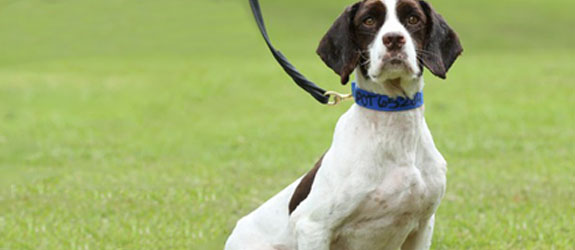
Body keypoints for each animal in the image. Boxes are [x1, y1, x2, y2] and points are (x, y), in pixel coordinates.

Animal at [225, 0, 464, 249]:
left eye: (413, 19)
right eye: (368, 20)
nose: (394, 39)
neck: (394, 133)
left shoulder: (423, 225)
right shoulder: (312, 227)